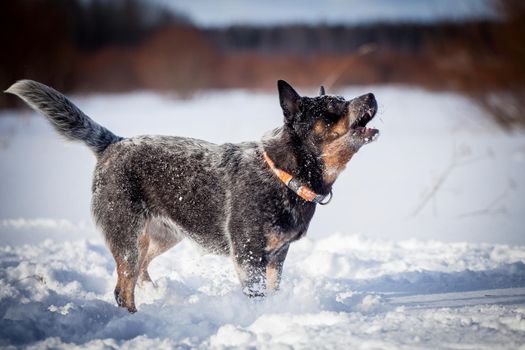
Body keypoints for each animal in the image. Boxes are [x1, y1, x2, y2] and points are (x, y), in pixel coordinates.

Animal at [4, 79, 376, 312]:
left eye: (344, 97)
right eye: (334, 105)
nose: (372, 95)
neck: (284, 175)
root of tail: (113, 143)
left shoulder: (278, 255)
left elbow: (273, 290)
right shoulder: (249, 255)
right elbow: (255, 295)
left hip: (164, 236)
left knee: (140, 273)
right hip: (126, 236)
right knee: (123, 288)